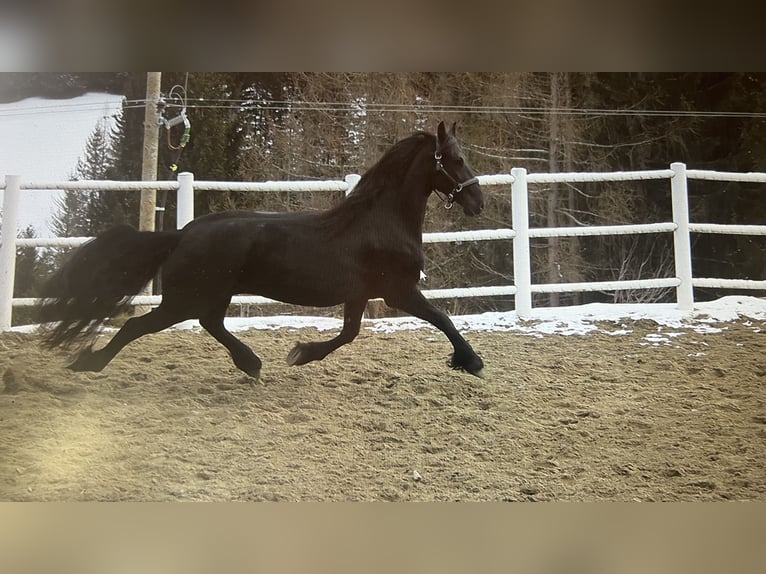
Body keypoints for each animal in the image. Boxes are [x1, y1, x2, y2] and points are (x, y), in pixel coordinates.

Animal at [39, 122, 486, 380]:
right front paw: (472, 363)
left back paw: (250, 364)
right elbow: (443, 319)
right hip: (185, 299)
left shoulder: (359, 295)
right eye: (455, 158)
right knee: (139, 326)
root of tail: (182, 234)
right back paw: (89, 363)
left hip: (211, 295)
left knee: (211, 323)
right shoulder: (399, 291)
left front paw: (301, 353)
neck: (381, 222)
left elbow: (349, 334)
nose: (478, 202)